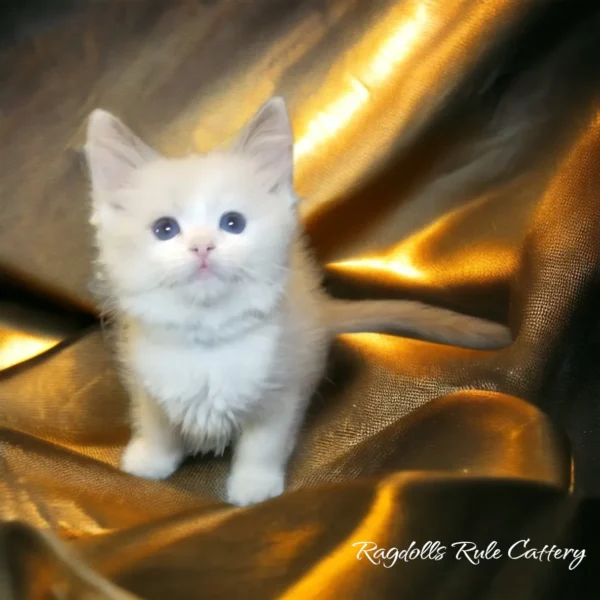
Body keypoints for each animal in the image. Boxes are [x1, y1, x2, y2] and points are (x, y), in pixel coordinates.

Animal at [82, 98, 508, 506]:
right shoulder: (143, 377)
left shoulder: (283, 386)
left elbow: (263, 444)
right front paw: (149, 460)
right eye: (165, 229)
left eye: (232, 223)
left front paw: (253, 486)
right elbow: (154, 422)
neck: (209, 337)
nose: (202, 247)